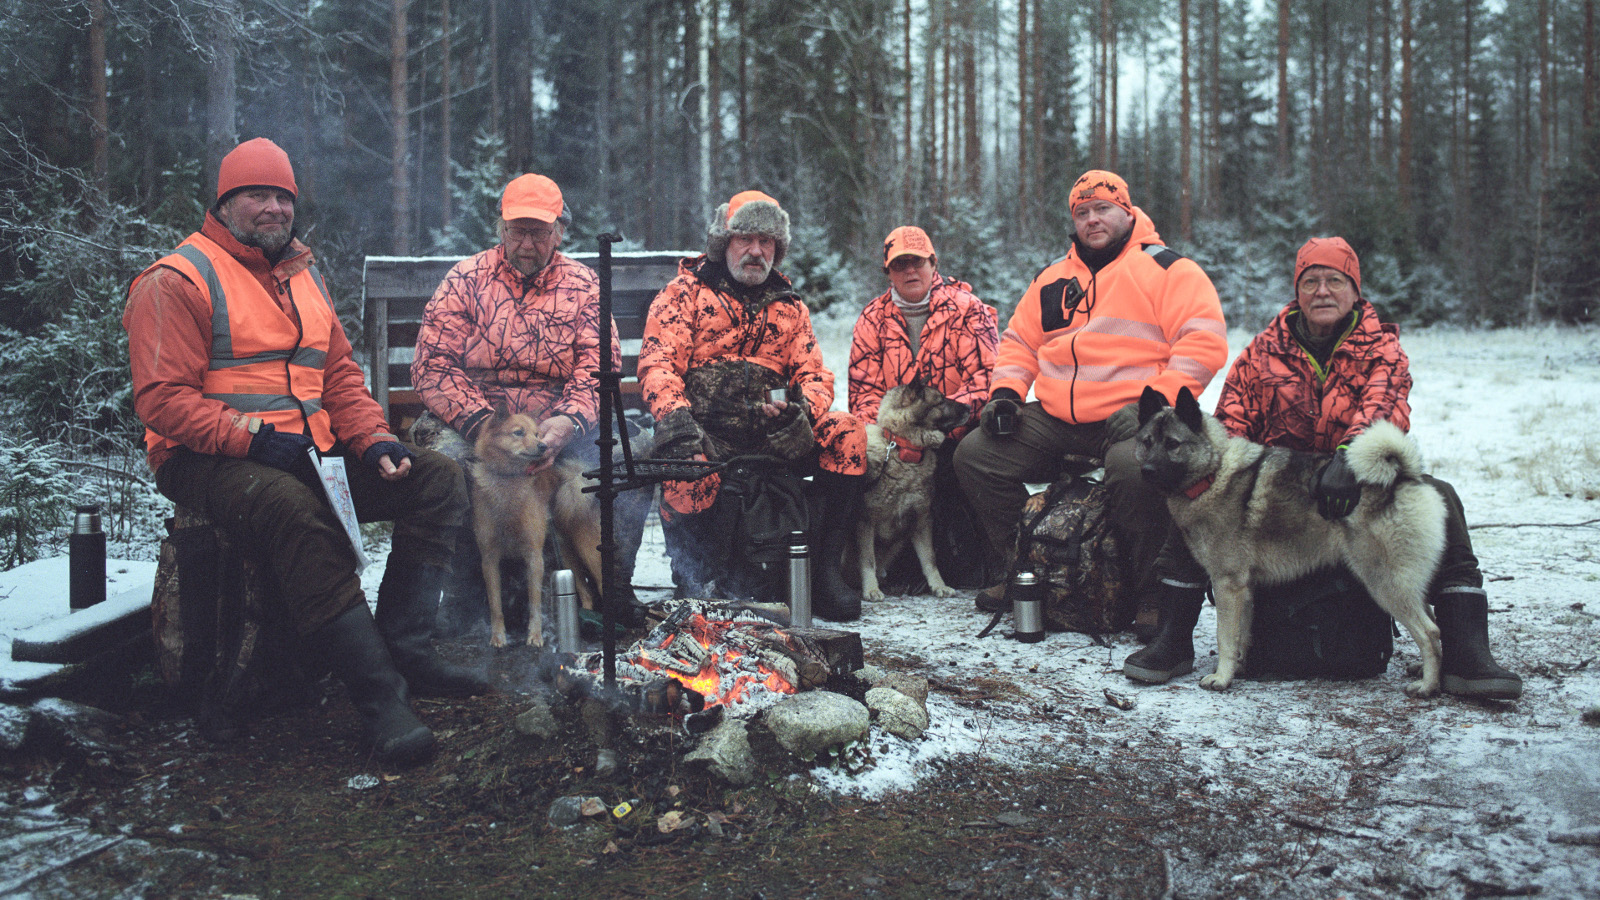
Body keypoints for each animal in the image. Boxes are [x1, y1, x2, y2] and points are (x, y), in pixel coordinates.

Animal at [857, 374, 966, 598]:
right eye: (940, 401)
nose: (969, 407)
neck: (903, 451)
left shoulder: (922, 521)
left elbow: (930, 559)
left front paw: (938, 585)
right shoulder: (865, 522)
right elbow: (868, 560)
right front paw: (871, 589)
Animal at [1132, 384, 1446, 695]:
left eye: (1172, 444)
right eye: (1147, 442)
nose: (1146, 470)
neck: (1214, 473)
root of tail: (1404, 476)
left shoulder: (1227, 584)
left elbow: (1226, 637)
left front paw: (1221, 678)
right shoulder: (1245, 589)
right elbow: (1242, 636)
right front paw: (1239, 670)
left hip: (1384, 582)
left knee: (1430, 632)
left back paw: (1427, 685)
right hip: (1405, 581)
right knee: (1433, 622)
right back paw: (1426, 671)